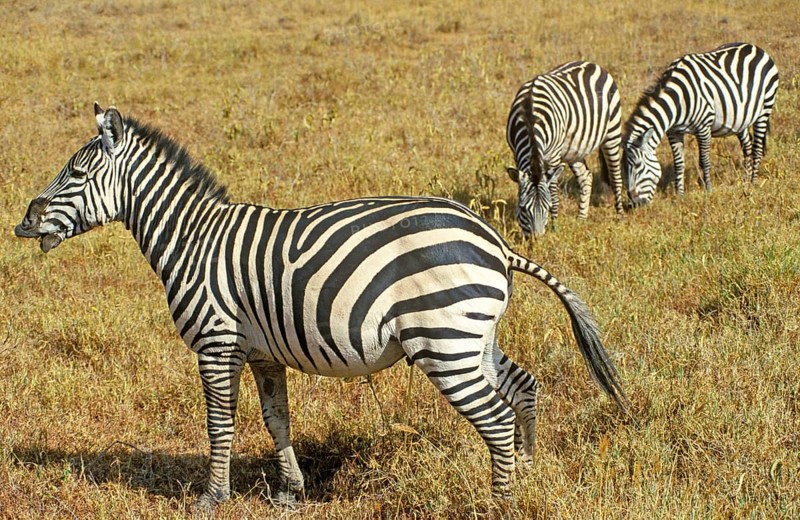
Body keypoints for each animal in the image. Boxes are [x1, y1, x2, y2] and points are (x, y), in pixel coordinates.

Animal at [15, 104, 630, 509]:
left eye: (76, 172)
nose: (24, 221)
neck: (192, 239)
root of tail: (497, 242)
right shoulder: (262, 352)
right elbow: (276, 419)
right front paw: (290, 491)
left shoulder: (216, 342)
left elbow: (220, 423)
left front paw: (212, 497)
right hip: (473, 335)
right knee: (523, 387)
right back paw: (526, 471)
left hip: (444, 343)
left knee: (495, 416)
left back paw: (498, 501)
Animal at [506, 61, 625, 237]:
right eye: (523, 209)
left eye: (547, 208)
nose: (536, 240)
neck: (529, 117)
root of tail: (592, 64)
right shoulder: (516, 153)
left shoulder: (554, 156)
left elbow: (554, 194)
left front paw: (555, 226)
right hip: (573, 150)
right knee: (586, 176)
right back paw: (581, 218)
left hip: (612, 133)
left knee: (616, 177)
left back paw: (620, 216)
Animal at [624, 42, 779, 206]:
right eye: (623, 169)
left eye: (637, 166)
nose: (634, 202)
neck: (678, 100)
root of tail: (755, 47)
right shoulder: (673, 132)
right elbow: (678, 163)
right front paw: (679, 195)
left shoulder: (703, 127)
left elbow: (704, 160)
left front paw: (708, 190)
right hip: (740, 118)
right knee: (747, 146)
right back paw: (746, 180)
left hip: (765, 108)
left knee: (757, 148)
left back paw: (753, 183)